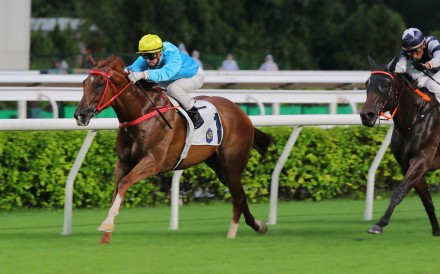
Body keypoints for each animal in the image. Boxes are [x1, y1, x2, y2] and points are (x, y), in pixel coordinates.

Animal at [360, 55, 440, 235]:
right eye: (367, 83)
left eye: (386, 84)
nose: (366, 115)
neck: (415, 118)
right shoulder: (408, 165)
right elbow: (427, 201)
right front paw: (436, 231)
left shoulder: (421, 160)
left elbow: (398, 192)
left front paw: (379, 224)